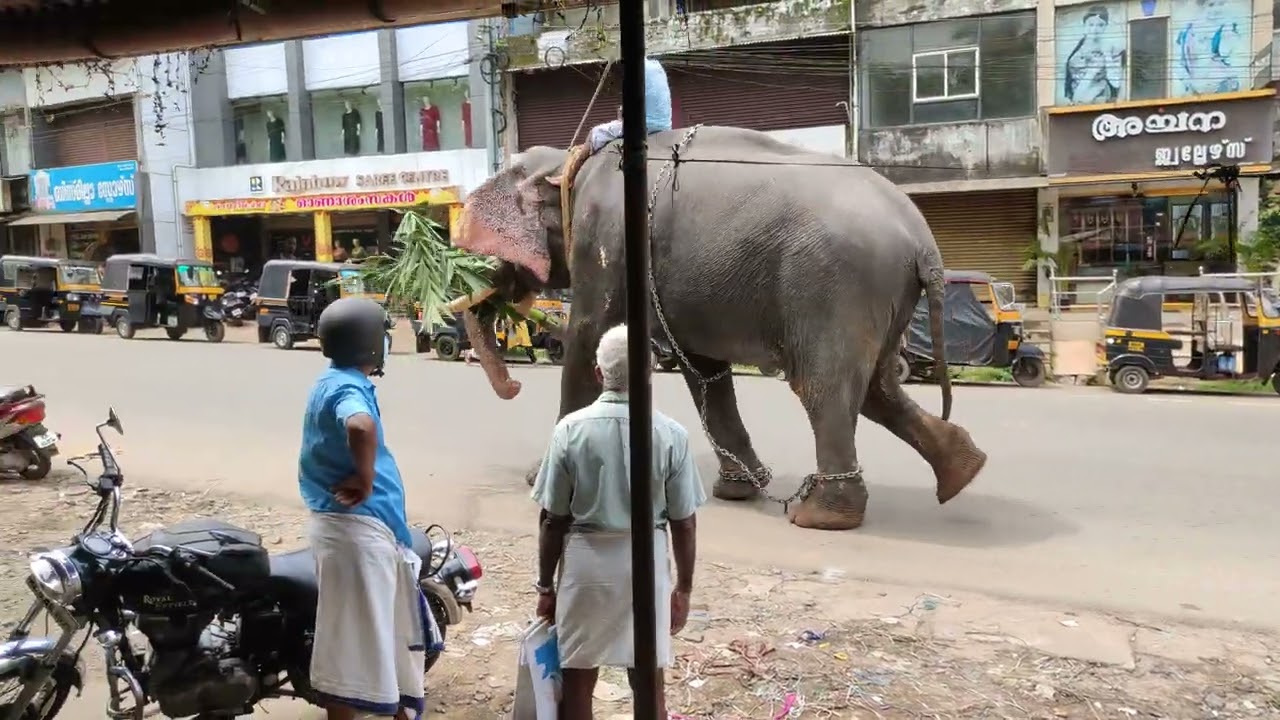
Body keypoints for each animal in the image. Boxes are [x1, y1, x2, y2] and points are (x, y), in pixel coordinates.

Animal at [448, 125, 988, 530]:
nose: (515, 385)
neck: (570, 161)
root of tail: (924, 243)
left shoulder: (604, 240)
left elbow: (589, 340)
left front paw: (537, 480)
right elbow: (703, 368)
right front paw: (738, 491)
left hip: (838, 286)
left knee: (824, 388)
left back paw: (823, 517)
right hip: (882, 295)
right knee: (878, 388)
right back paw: (962, 469)